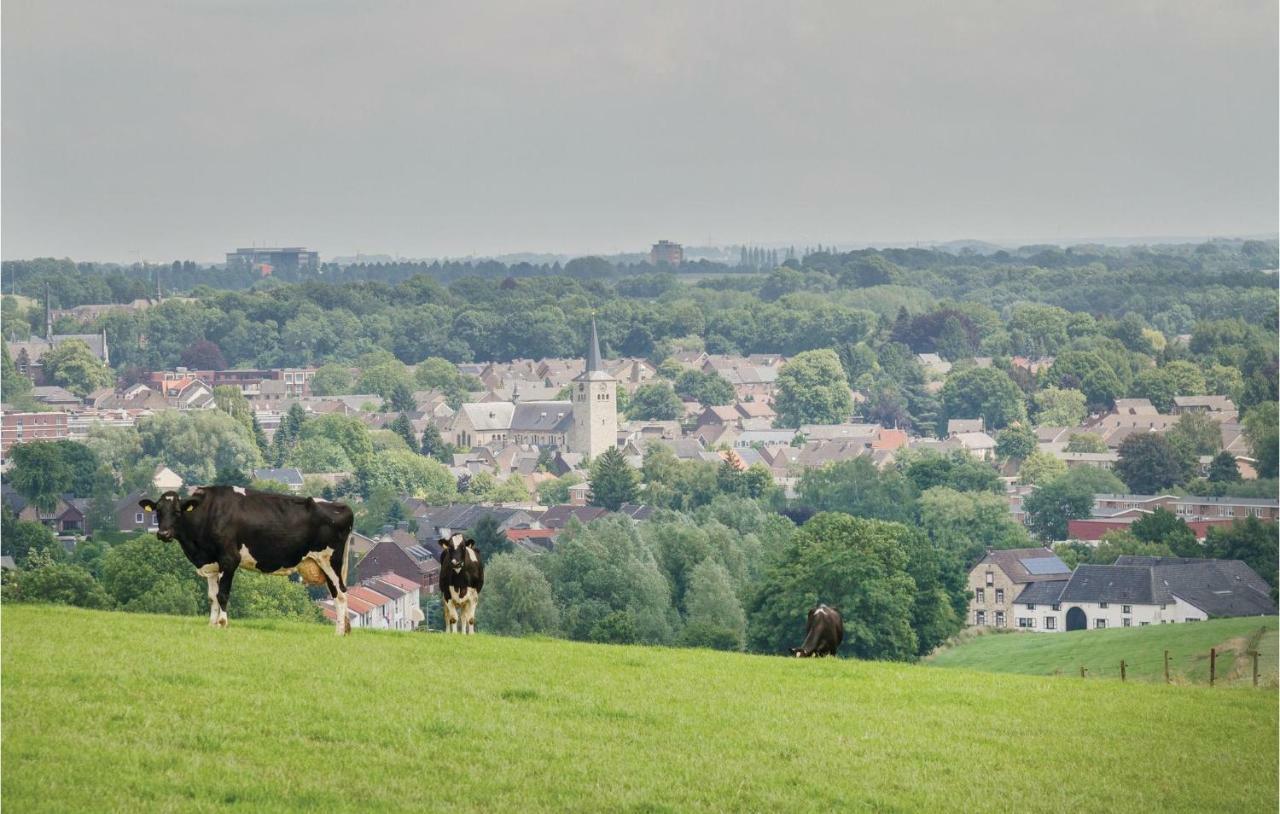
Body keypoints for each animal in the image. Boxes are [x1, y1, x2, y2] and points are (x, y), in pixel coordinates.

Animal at [138, 483, 355, 634]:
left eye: (177, 512)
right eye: (158, 511)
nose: (163, 534)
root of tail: (342, 506)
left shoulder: (229, 559)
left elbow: (222, 594)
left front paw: (223, 623)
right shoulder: (211, 563)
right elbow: (212, 596)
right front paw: (212, 624)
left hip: (329, 561)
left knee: (341, 594)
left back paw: (338, 632)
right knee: (337, 593)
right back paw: (344, 629)